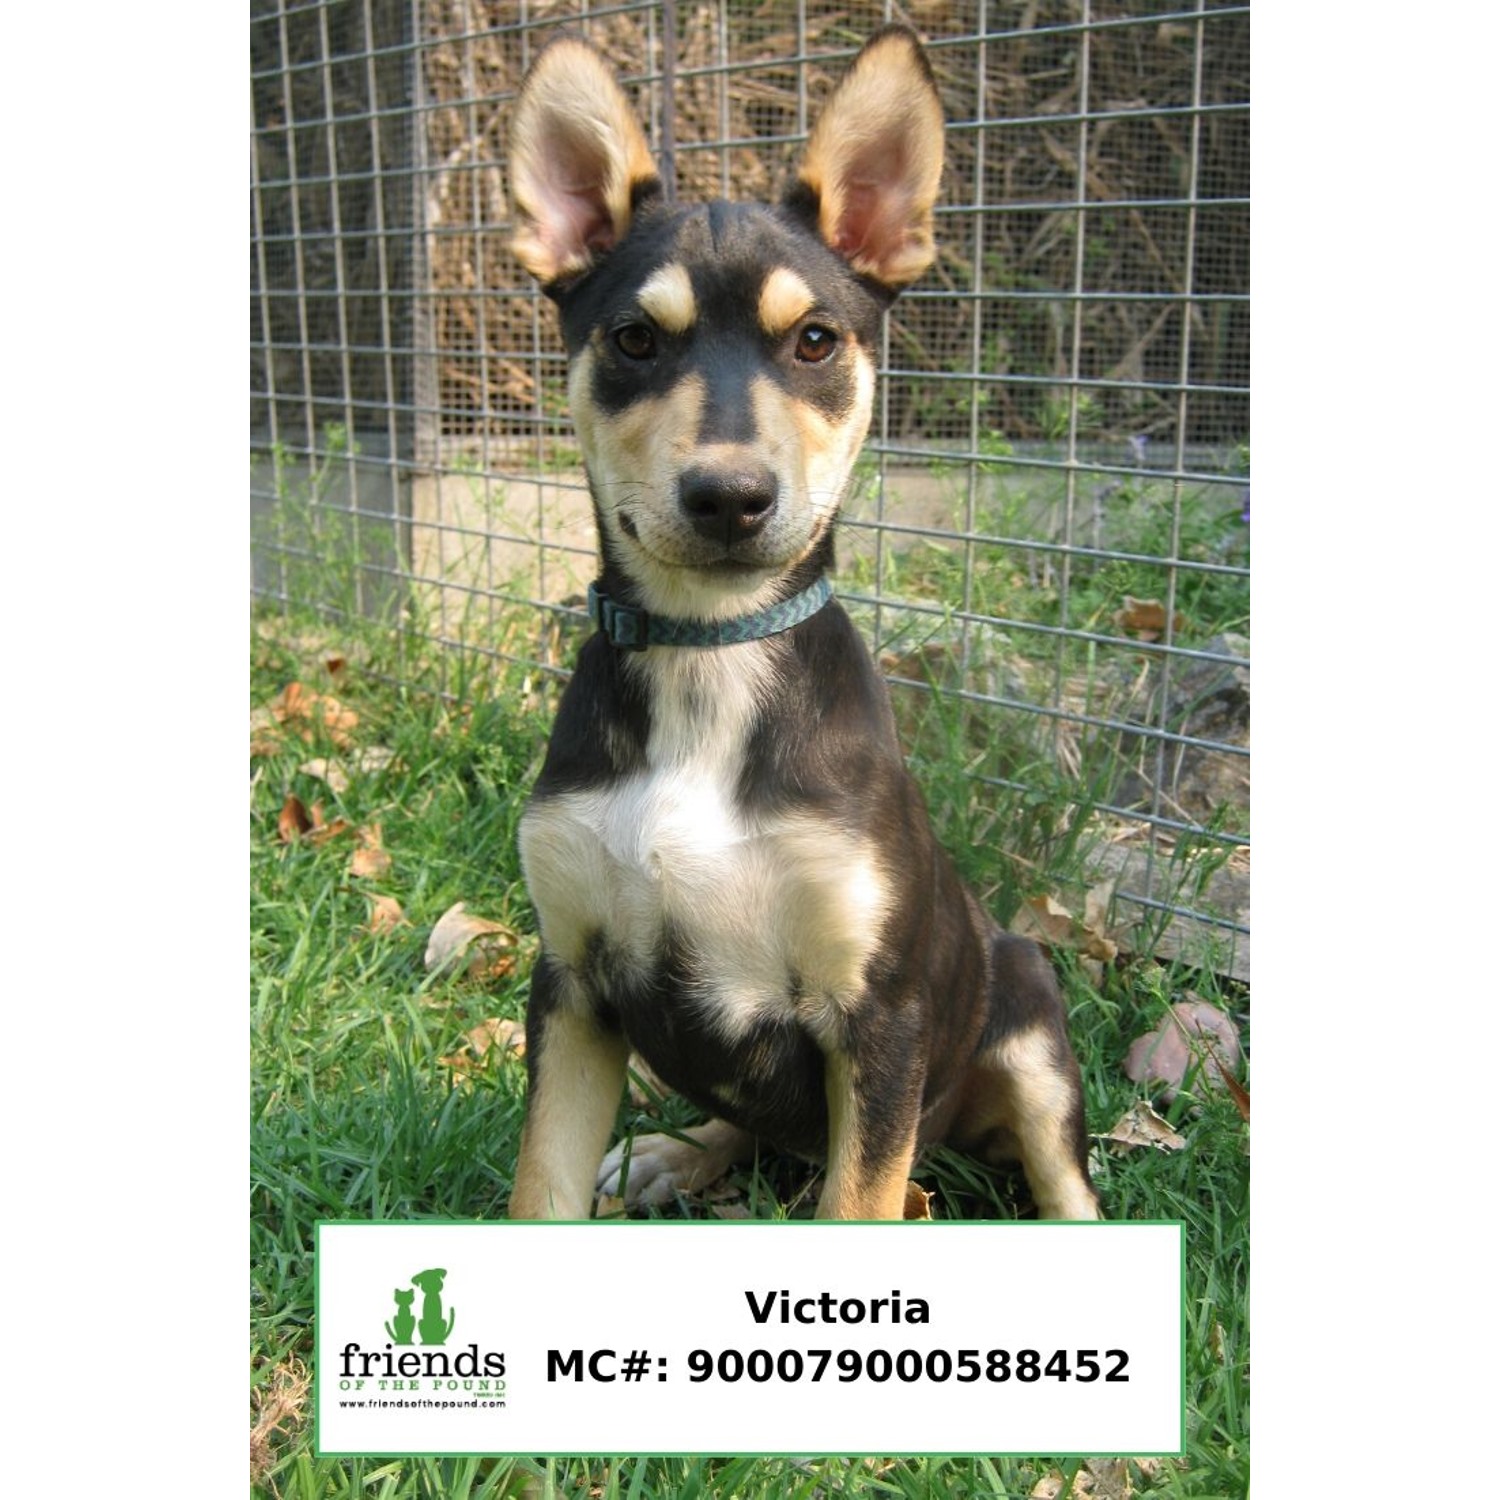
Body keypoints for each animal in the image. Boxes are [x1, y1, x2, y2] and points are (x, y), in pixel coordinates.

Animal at [505, 26, 1100, 1222]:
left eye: (817, 340)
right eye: (633, 340)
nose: (730, 498)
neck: (713, 651)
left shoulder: (879, 1022)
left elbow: (856, 1196)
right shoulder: (572, 985)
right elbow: (541, 1188)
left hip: (1024, 1006)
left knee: (1061, 1174)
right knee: (759, 1132)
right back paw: (677, 1150)